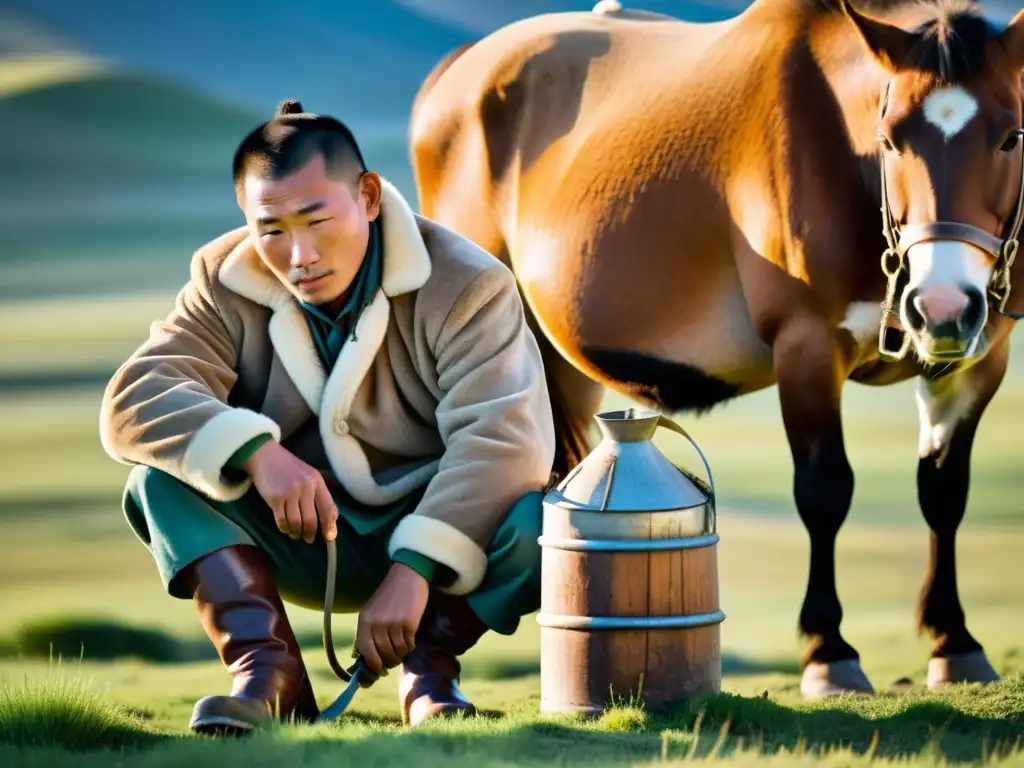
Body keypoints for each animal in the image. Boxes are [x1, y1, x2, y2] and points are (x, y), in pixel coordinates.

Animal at [407, 0, 1024, 696]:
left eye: (1011, 136)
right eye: (889, 138)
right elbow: (824, 491)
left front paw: (955, 642)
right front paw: (829, 653)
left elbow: (944, 492)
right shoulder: (806, 347)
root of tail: (459, 68)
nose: (941, 307)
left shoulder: (978, 362)